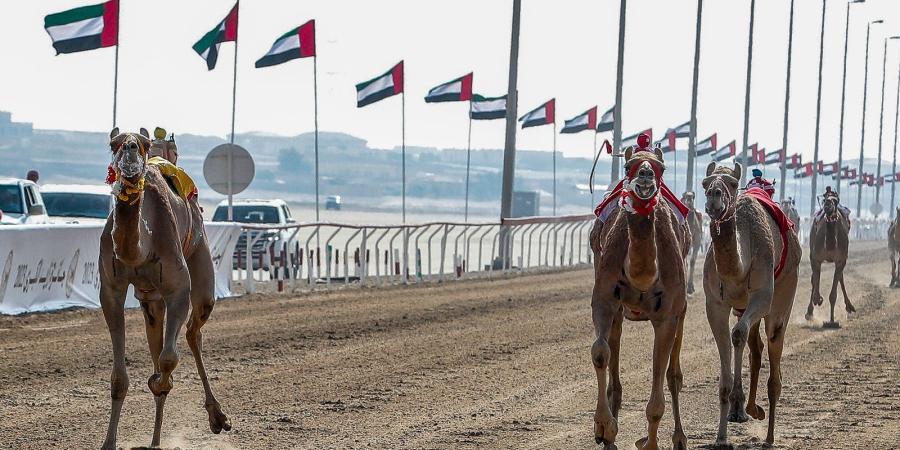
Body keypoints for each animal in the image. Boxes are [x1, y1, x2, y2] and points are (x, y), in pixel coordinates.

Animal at [98, 127, 230, 450]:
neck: (139, 248)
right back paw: (156, 440)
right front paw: (109, 443)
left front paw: (159, 381)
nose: (131, 149)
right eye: (113, 144)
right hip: (150, 300)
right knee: (161, 338)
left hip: (200, 261)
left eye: (143, 145)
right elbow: (119, 377)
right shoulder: (111, 289)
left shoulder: (178, 288)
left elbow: (169, 358)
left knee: (193, 331)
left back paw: (217, 417)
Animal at [592, 146, 688, 448]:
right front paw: (604, 427)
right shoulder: (604, 299)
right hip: (619, 313)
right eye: (628, 166)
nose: (645, 174)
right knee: (613, 352)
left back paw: (679, 438)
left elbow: (658, 391)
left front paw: (651, 443)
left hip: (682, 311)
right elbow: (600, 353)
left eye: (661, 167)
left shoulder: (668, 315)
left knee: (673, 375)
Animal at [704, 163, 800, 450]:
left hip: (785, 288)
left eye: (733, 184)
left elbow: (737, 334)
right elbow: (732, 344)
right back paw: (749, 409)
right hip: (743, 307)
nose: (714, 196)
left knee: (772, 341)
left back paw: (768, 436)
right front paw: (721, 437)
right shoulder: (715, 304)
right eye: (705, 182)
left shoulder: (762, 295)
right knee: (754, 346)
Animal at [804, 190, 856, 324]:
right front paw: (817, 300)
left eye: (836, 201)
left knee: (840, 278)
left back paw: (849, 307)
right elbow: (815, 283)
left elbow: (833, 295)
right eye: (825, 199)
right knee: (814, 279)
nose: (828, 204)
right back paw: (809, 312)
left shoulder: (841, 260)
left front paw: (832, 320)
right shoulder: (815, 258)